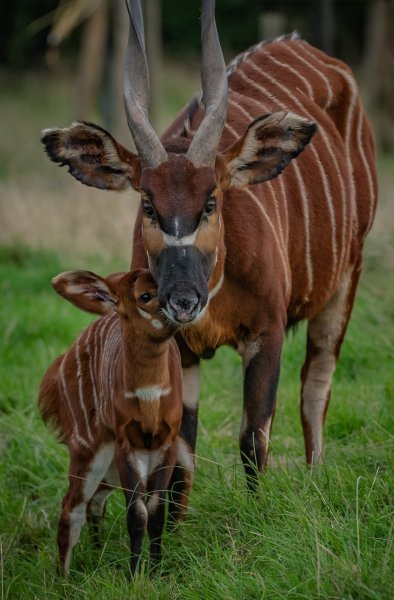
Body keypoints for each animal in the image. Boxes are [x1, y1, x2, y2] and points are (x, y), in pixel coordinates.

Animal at [38, 270, 183, 576]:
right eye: (145, 295)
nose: (186, 307)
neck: (150, 398)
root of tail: (59, 367)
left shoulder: (167, 442)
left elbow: (155, 512)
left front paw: (157, 574)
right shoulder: (126, 442)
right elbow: (137, 514)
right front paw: (133, 576)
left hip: (108, 465)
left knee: (95, 501)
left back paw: (96, 554)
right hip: (88, 447)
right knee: (71, 506)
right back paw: (63, 579)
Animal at [41, 0, 378, 492]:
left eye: (211, 201)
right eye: (148, 204)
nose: (182, 300)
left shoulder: (267, 333)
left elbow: (253, 438)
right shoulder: (180, 350)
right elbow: (180, 456)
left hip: (347, 276)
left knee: (316, 385)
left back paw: (316, 479)